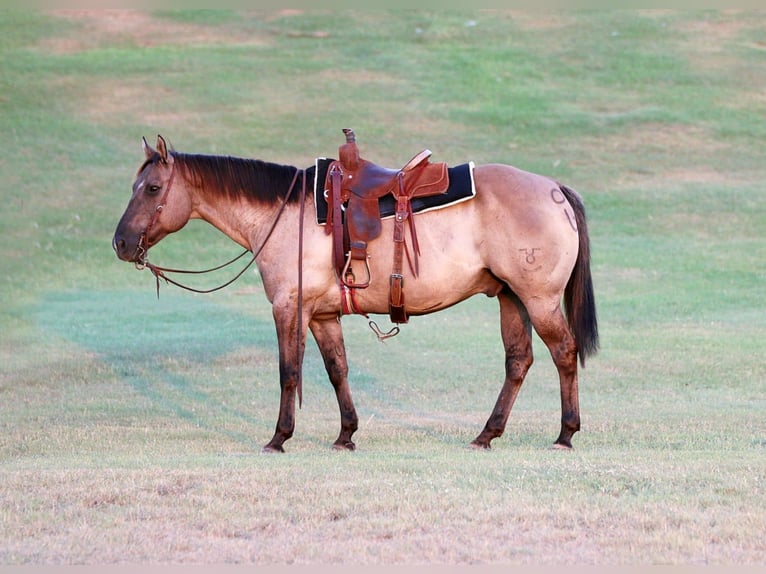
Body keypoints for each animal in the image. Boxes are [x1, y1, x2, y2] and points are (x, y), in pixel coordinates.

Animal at [113, 134, 598, 453]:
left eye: (152, 188)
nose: (120, 243)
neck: (286, 215)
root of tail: (553, 189)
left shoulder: (288, 308)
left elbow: (289, 372)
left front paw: (279, 437)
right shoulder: (323, 316)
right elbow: (336, 371)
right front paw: (346, 435)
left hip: (538, 300)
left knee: (564, 353)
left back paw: (565, 434)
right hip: (510, 298)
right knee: (518, 362)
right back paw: (486, 435)